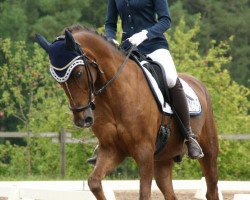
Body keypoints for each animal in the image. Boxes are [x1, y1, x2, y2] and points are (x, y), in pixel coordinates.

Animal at [36, 25, 220, 199]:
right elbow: (94, 182)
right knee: (171, 194)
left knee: (212, 190)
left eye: (78, 73)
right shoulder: (111, 150)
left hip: (208, 151)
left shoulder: (144, 152)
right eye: (58, 80)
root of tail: (198, 83)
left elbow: (144, 194)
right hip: (162, 159)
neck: (115, 97)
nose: (82, 119)